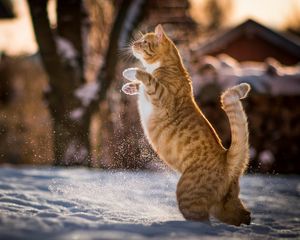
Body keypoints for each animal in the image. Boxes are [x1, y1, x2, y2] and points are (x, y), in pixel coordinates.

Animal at [121, 23, 251, 225]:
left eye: (144, 42)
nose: (133, 44)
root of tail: (225, 156)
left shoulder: (162, 96)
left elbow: (146, 77)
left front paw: (130, 72)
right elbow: (141, 83)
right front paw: (128, 86)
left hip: (188, 195)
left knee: (202, 222)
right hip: (224, 207)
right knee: (244, 216)